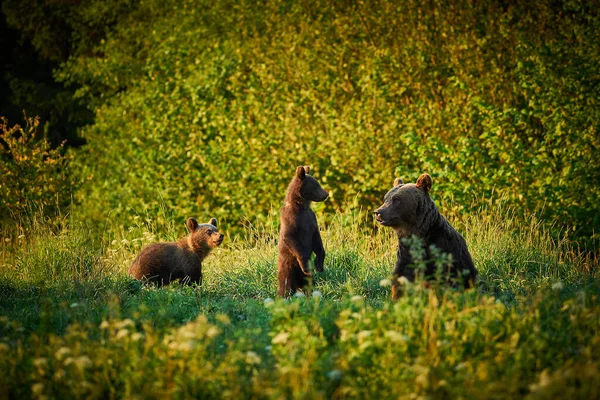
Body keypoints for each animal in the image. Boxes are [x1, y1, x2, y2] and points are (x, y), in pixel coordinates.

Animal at [276, 166, 328, 296]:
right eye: (316, 185)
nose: (326, 194)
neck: (301, 205)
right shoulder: (292, 219)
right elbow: (291, 237)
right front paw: (306, 266)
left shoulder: (311, 219)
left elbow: (317, 240)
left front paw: (319, 264)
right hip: (287, 265)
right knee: (286, 282)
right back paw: (283, 294)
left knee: (307, 282)